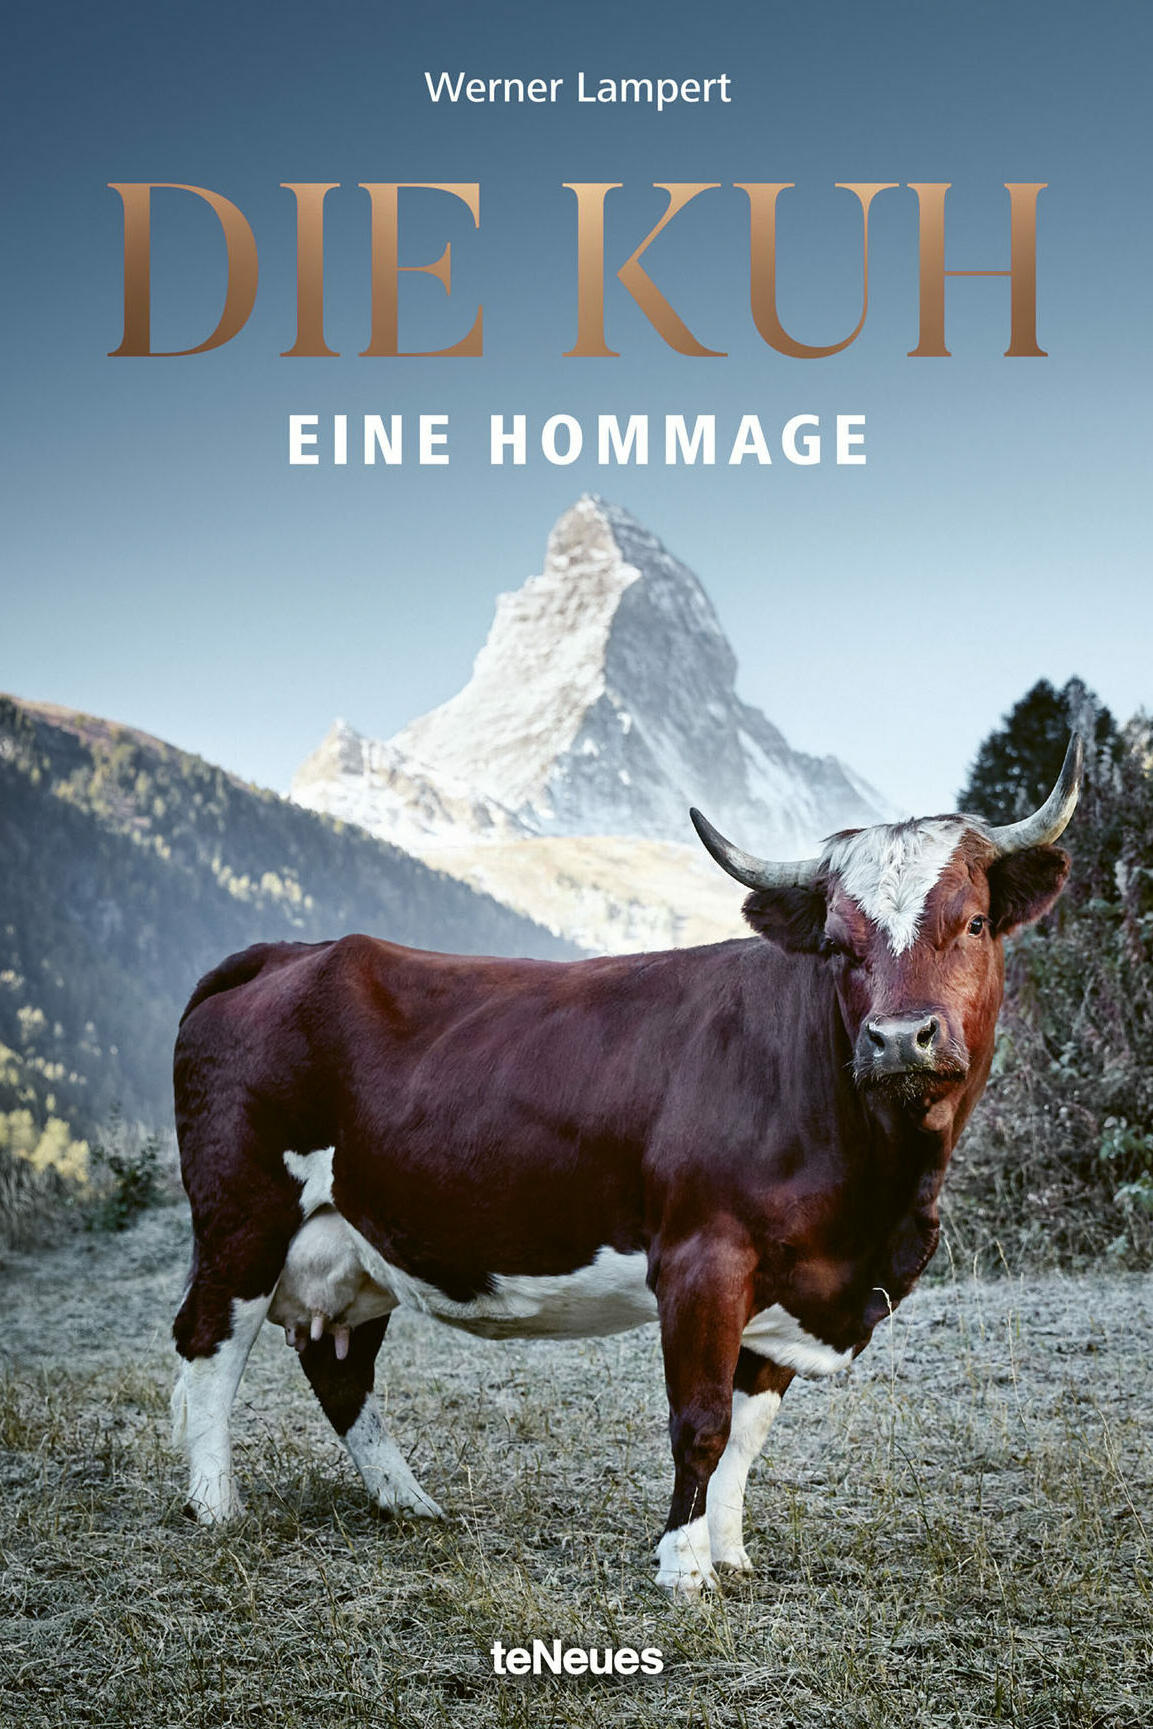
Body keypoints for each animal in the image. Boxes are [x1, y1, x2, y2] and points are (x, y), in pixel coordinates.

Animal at [170, 734, 1082, 1594]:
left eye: (973, 922)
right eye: (835, 942)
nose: (897, 1038)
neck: (876, 1204)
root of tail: (287, 953)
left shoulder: (787, 1288)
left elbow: (747, 1432)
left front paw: (729, 1551)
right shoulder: (701, 1259)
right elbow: (701, 1422)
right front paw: (683, 1567)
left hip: (356, 1239)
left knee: (338, 1367)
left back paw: (407, 1501)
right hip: (242, 1215)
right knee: (209, 1339)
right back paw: (216, 1505)